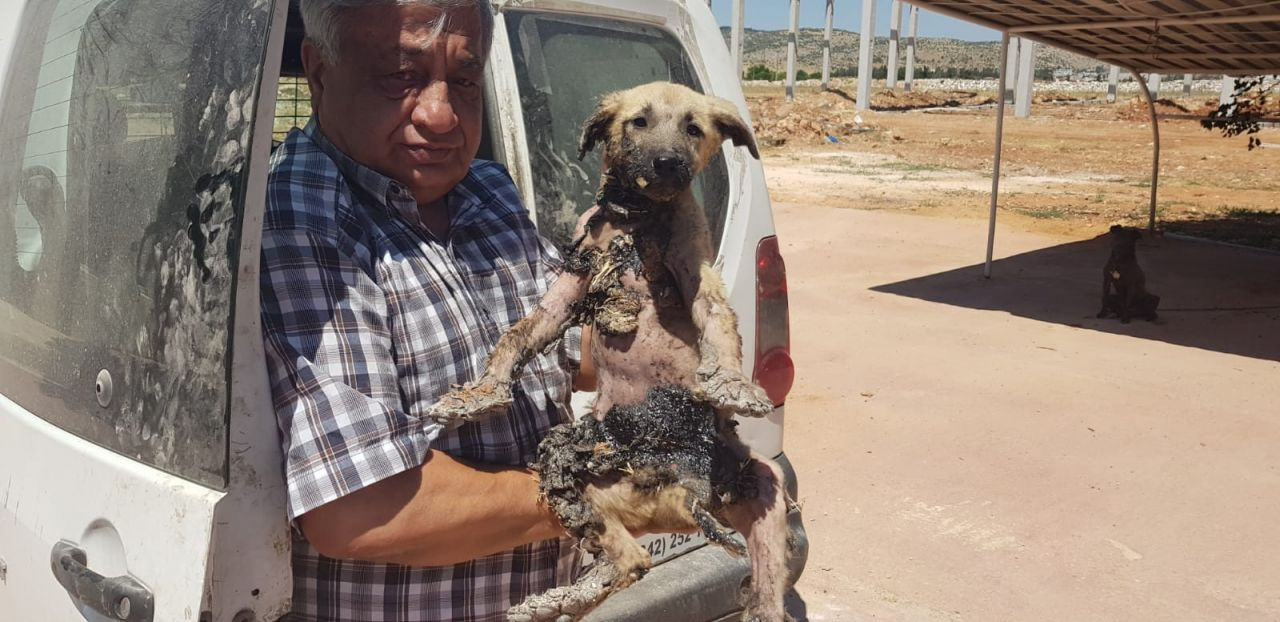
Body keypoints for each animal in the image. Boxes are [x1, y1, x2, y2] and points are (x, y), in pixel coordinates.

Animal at [430, 80, 788, 619]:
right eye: (638, 121)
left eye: (694, 129)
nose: (667, 163)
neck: (637, 217)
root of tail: (686, 495)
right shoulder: (572, 280)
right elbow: (517, 334)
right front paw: (480, 393)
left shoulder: (694, 267)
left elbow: (720, 324)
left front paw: (732, 384)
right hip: (579, 467)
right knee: (631, 560)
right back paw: (554, 600)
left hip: (761, 479)